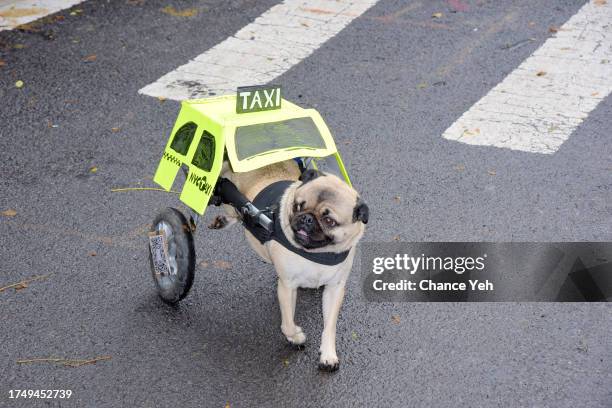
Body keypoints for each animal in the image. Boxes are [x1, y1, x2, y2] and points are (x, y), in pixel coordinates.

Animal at [210, 160, 368, 372]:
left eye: (329, 221)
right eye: (298, 206)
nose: (307, 218)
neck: (315, 253)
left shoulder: (334, 289)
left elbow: (329, 326)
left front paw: (328, 354)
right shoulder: (287, 286)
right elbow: (287, 324)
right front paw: (296, 337)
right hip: (226, 195)